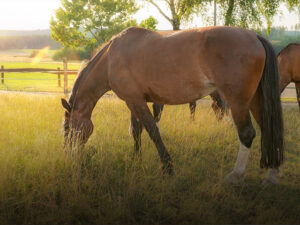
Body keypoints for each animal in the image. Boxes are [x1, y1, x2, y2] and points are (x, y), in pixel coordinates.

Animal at [61, 26, 284, 185]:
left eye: (67, 128)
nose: (69, 155)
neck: (110, 57)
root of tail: (254, 37)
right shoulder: (133, 101)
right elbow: (136, 131)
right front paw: (136, 159)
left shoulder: (136, 101)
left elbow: (152, 131)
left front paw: (167, 167)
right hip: (255, 99)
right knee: (267, 128)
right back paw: (272, 173)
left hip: (238, 101)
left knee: (247, 134)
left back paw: (236, 176)